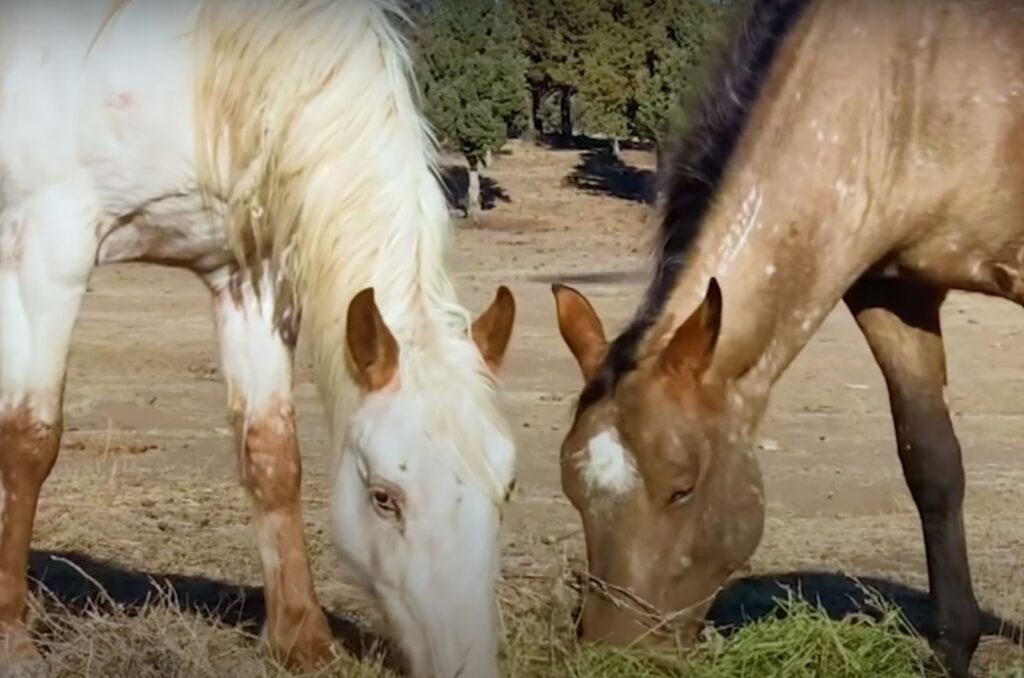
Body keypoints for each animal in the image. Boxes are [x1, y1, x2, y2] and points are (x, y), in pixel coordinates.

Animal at [0, 1, 512, 678]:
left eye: (506, 490)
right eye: (383, 498)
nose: (466, 661)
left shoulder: (248, 278)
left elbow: (272, 455)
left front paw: (302, 640)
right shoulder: (47, 249)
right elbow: (29, 442)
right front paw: (12, 639)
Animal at [552, 0, 1024, 675]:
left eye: (682, 488)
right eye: (572, 488)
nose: (617, 655)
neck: (907, 90)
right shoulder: (891, 295)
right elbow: (932, 467)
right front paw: (952, 645)